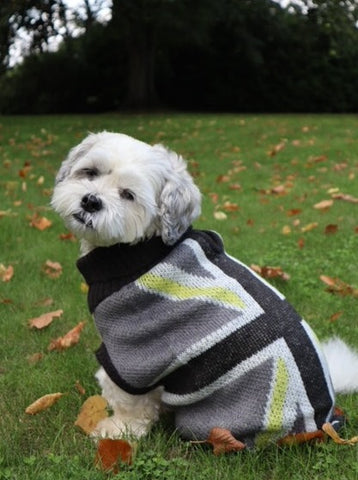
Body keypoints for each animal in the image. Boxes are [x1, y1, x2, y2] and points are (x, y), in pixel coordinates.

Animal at [51, 130, 358, 446]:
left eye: (128, 195)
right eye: (90, 172)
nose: (91, 201)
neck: (140, 250)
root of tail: (324, 421)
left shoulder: (132, 352)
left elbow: (129, 402)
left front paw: (118, 430)